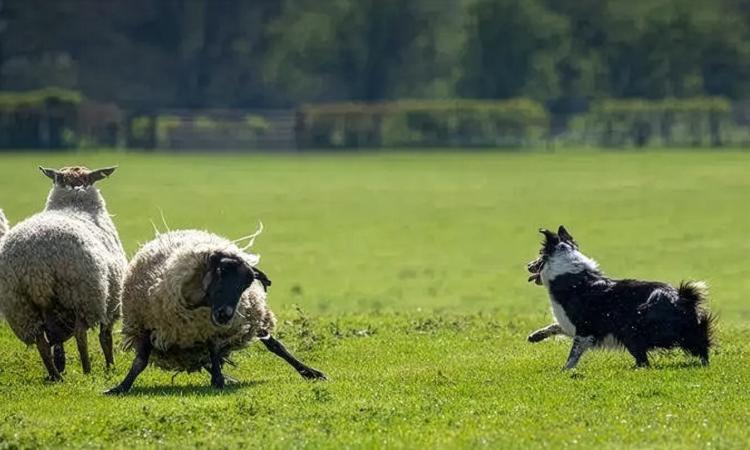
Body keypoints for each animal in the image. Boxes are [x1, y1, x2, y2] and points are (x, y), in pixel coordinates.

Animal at [0, 166, 127, 381]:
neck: (72, 203)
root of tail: (35, 263)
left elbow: (58, 344)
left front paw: (61, 365)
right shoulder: (111, 301)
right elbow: (105, 337)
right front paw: (110, 367)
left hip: (20, 306)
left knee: (41, 341)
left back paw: (55, 375)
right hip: (82, 294)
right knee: (80, 334)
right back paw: (86, 370)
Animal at [105, 229, 326, 394]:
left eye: (246, 284)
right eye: (220, 272)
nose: (225, 314)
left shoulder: (211, 328)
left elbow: (214, 349)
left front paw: (219, 380)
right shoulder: (144, 325)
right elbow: (140, 362)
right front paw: (120, 387)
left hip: (251, 318)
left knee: (274, 345)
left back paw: (310, 372)